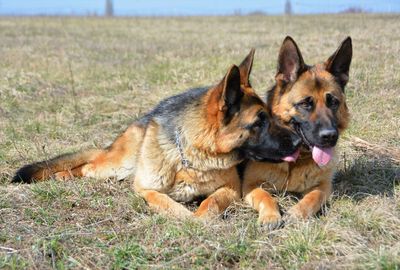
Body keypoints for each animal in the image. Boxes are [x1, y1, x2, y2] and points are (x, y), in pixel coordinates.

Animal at [13, 50, 300, 219]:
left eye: (270, 116)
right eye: (259, 122)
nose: (299, 141)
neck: (192, 158)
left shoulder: (230, 188)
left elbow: (211, 202)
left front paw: (200, 217)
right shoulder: (145, 188)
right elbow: (164, 201)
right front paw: (184, 216)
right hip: (116, 166)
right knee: (87, 166)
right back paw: (63, 175)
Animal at [242, 36, 352, 228]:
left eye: (333, 102)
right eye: (305, 104)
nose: (330, 136)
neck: (296, 160)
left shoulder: (324, 186)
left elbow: (313, 197)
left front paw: (297, 212)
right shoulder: (250, 185)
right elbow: (265, 196)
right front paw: (270, 215)